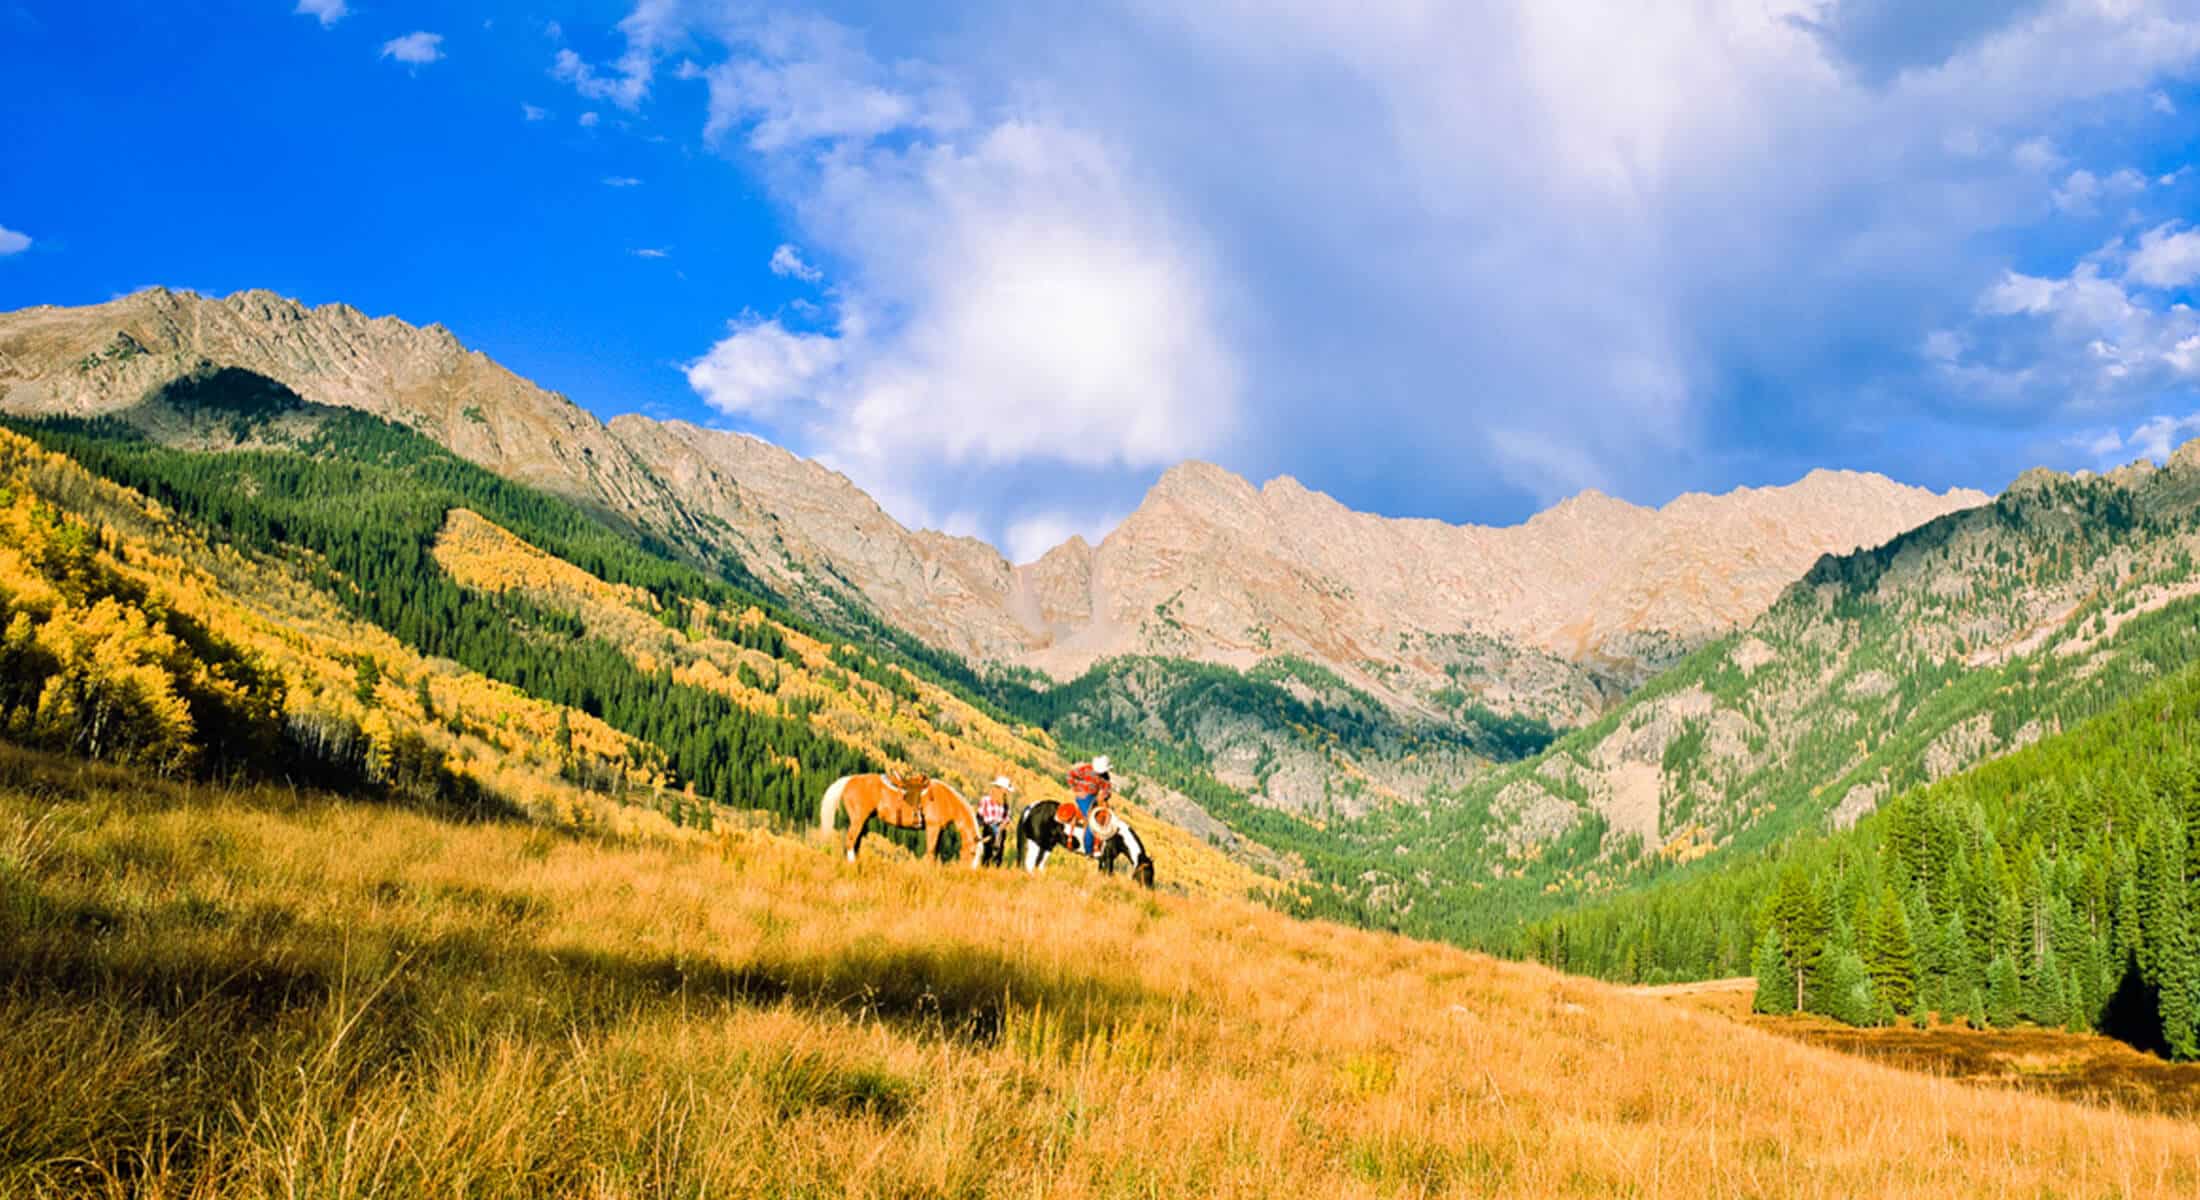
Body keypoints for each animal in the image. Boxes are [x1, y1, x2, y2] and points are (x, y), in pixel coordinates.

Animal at [819, 773, 982, 868]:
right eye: (973, 853)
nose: (969, 872)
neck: (946, 800)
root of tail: (850, 780)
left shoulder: (939, 830)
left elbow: (934, 852)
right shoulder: (932, 828)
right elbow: (930, 852)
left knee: (856, 841)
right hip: (859, 818)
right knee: (851, 839)